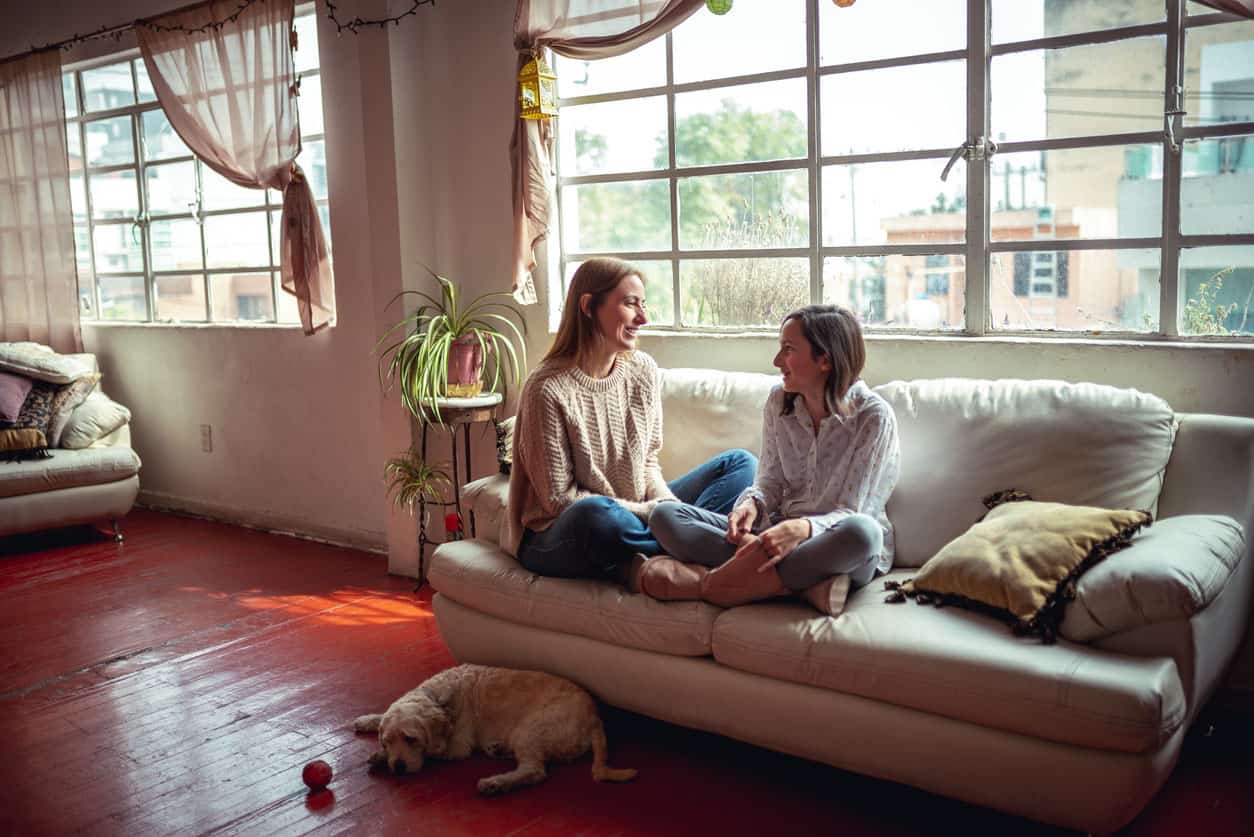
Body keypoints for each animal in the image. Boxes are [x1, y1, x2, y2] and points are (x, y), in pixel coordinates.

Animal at [351, 662, 637, 798]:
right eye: (387, 741)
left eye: (411, 739)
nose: (397, 767)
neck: (440, 700)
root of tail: (595, 718)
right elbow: (381, 716)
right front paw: (368, 722)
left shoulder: (457, 746)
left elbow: (434, 752)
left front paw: (379, 757)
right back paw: (499, 750)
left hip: (530, 730)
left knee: (534, 771)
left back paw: (496, 783)